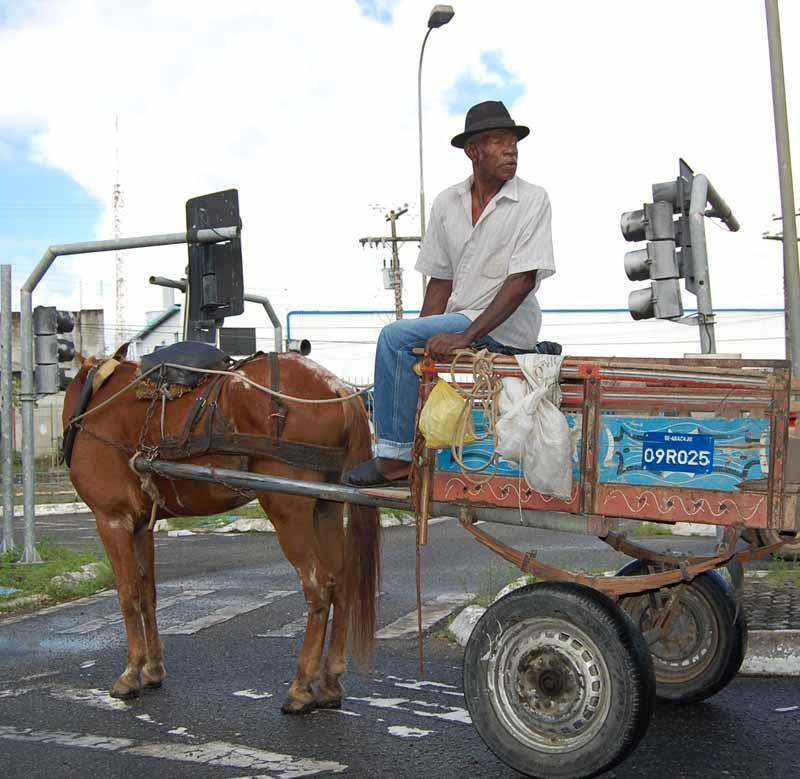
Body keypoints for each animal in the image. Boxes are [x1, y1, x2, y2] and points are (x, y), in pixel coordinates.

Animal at [62, 348, 381, 715]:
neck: (97, 398)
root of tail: (335, 388)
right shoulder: (142, 525)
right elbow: (147, 594)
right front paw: (152, 669)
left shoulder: (112, 519)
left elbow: (127, 595)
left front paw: (130, 674)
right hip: (325, 506)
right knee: (341, 583)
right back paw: (329, 682)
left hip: (288, 509)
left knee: (318, 587)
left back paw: (301, 688)